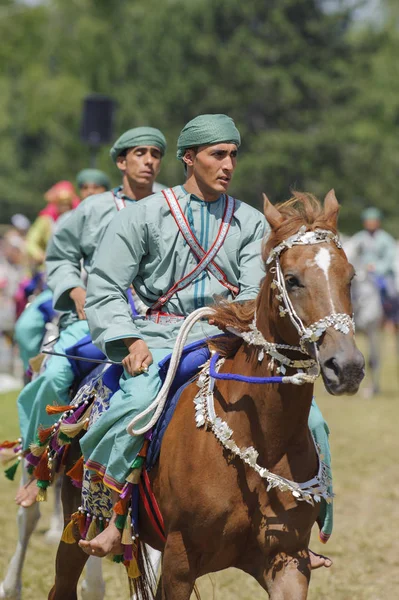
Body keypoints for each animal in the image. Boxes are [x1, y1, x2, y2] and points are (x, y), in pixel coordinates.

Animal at [50, 190, 366, 596]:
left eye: (350, 277)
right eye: (293, 279)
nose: (347, 366)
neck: (258, 439)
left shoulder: (288, 560)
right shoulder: (179, 562)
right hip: (76, 526)